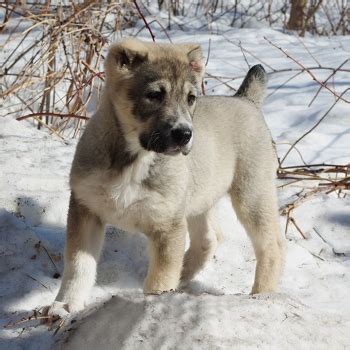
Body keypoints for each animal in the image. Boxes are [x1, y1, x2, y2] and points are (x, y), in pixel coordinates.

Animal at [46, 38, 284, 318]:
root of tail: (246, 100)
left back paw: (262, 295)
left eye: (191, 98)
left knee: (271, 246)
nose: (185, 134)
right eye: (154, 95)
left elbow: (159, 279)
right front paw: (66, 304)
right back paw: (184, 275)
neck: (136, 159)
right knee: (209, 238)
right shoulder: (86, 209)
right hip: (198, 198)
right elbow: (78, 265)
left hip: (252, 194)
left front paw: (152, 306)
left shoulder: (167, 227)